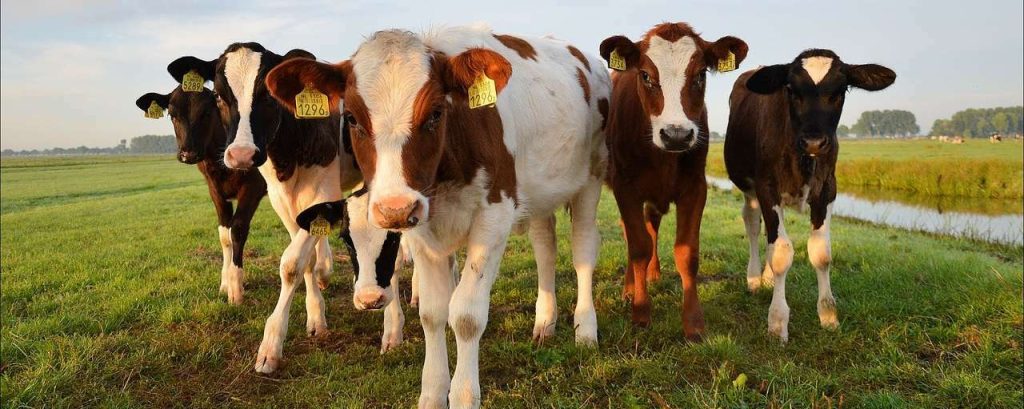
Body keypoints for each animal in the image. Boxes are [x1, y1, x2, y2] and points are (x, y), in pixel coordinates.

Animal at [135, 81, 266, 305]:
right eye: (172, 114)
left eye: (206, 112)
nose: (188, 153)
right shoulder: (215, 190)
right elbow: (224, 235)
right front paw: (225, 283)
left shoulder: (254, 186)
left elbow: (238, 230)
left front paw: (236, 289)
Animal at [167, 43, 364, 373]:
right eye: (218, 95)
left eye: (269, 95)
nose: (241, 155)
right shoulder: (280, 199)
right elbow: (305, 260)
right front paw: (316, 315)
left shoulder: (320, 191)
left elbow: (292, 263)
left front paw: (271, 344)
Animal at [265, 26, 609, 408]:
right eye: (351, 118)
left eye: (434, 113)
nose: (394, 209)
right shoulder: (422, 227)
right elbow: (432, 313)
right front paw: (431, 392)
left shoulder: (494, 217)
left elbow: (467, 315)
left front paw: (463, 394)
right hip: (539, 194)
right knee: (545, 248)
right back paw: (545, 321)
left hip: (591, 179)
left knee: (582, 251)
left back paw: (585, 329)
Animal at [598, 22, 748, 341]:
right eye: (645, 75)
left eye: (701, 74)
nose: (677, 135)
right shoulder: (625, 187)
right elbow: (638, 246)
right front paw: (641, 313)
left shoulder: (695, 188)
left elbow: (686, 252)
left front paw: (694, 323)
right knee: (632, 233)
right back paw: (630, 288)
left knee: (652, 224)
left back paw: (653, 274)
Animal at [724, 49, 895, 342]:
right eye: (791, 90)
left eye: (840, 91)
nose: (814, 142)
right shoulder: (767, 189)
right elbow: (781, 253)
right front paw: (777, 322)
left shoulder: (827, 190)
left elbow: (820, 253)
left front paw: (828, 315)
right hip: (749, 189)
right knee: (753, 224)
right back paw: (755, 278)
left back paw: (767, 278)